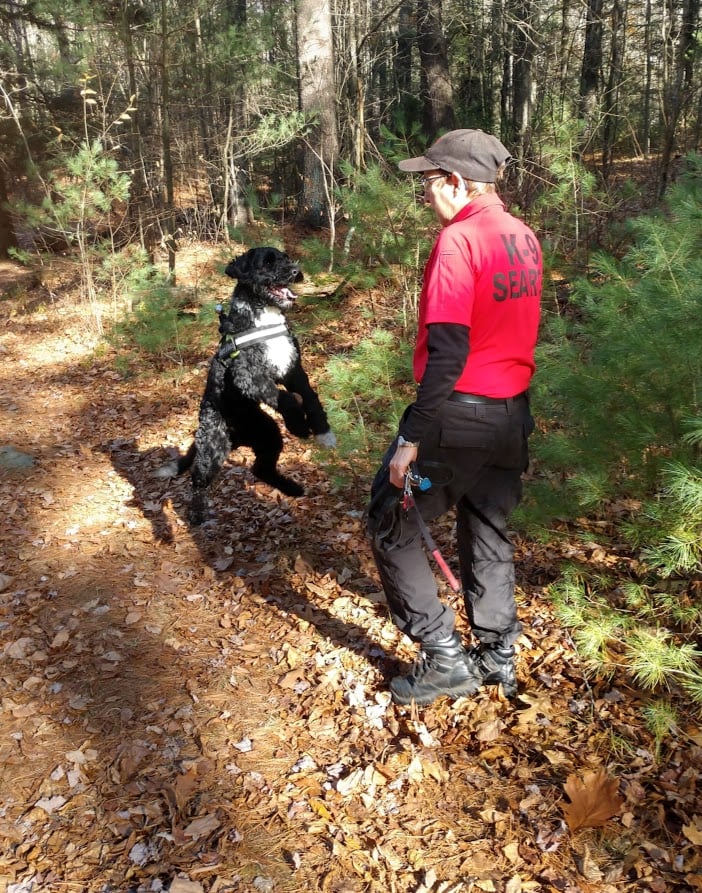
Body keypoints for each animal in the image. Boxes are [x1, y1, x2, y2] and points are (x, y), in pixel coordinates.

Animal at [158, 246, 336, 525]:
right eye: (267, 262)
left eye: (286, 258)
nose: (296, 271)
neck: (264, 317)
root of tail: (236, 436)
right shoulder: (248, 376)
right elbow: (285, 398)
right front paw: (298, 424)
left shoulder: (293, 370)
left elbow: (309, 397)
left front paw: (321, 429)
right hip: (212, 449)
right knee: (198, 481)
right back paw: (196, 514)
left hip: (268, 435)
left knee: (260, 469)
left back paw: (291, 488)